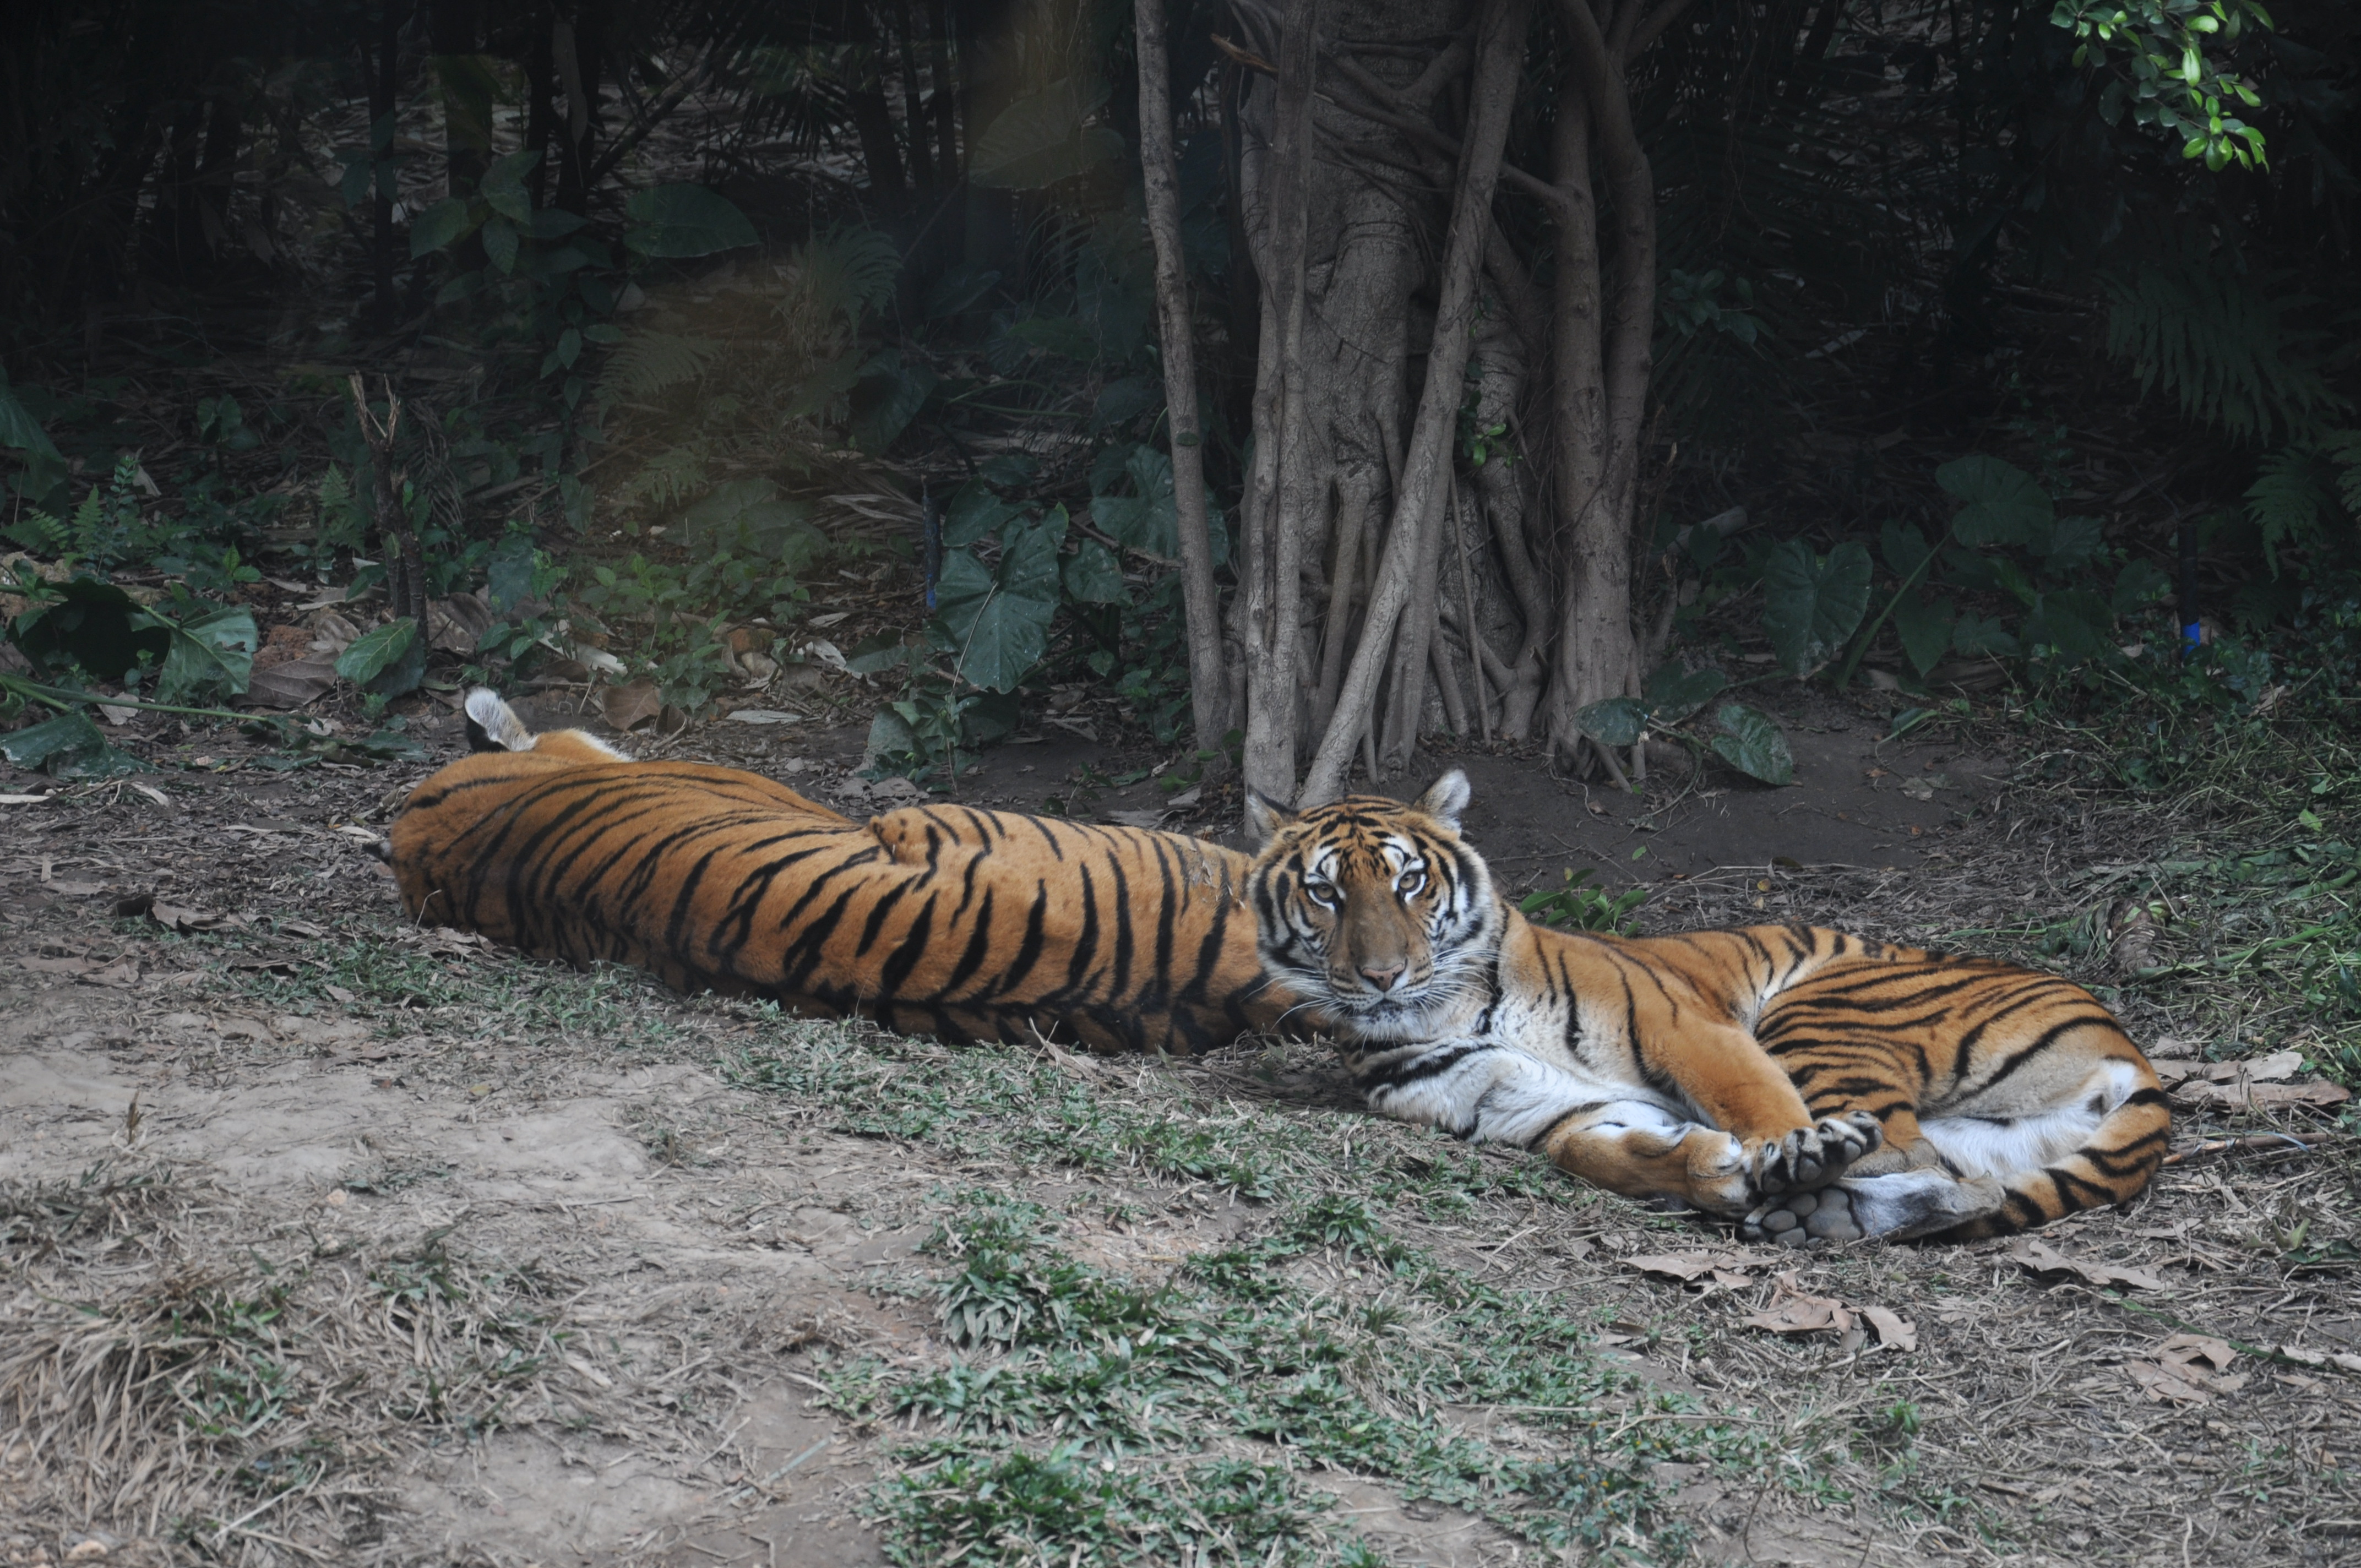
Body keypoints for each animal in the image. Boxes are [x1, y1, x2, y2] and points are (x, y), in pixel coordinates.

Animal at [1247, 770, 2162, 1237]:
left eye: (1408, 882)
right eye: (1326, 893)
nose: (1383, 976)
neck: (1442, 1006)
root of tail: (2129, 1050)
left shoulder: (1684, 1025)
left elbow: (1753, 1101)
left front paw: (1784, 1155)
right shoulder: (1529, 1106)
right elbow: (1599, 1153)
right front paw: (1716, 1175)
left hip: (1825, 1011)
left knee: (1913, 1157)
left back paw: (1810, 1189)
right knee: (1959, 1181)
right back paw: (1818, 1217)